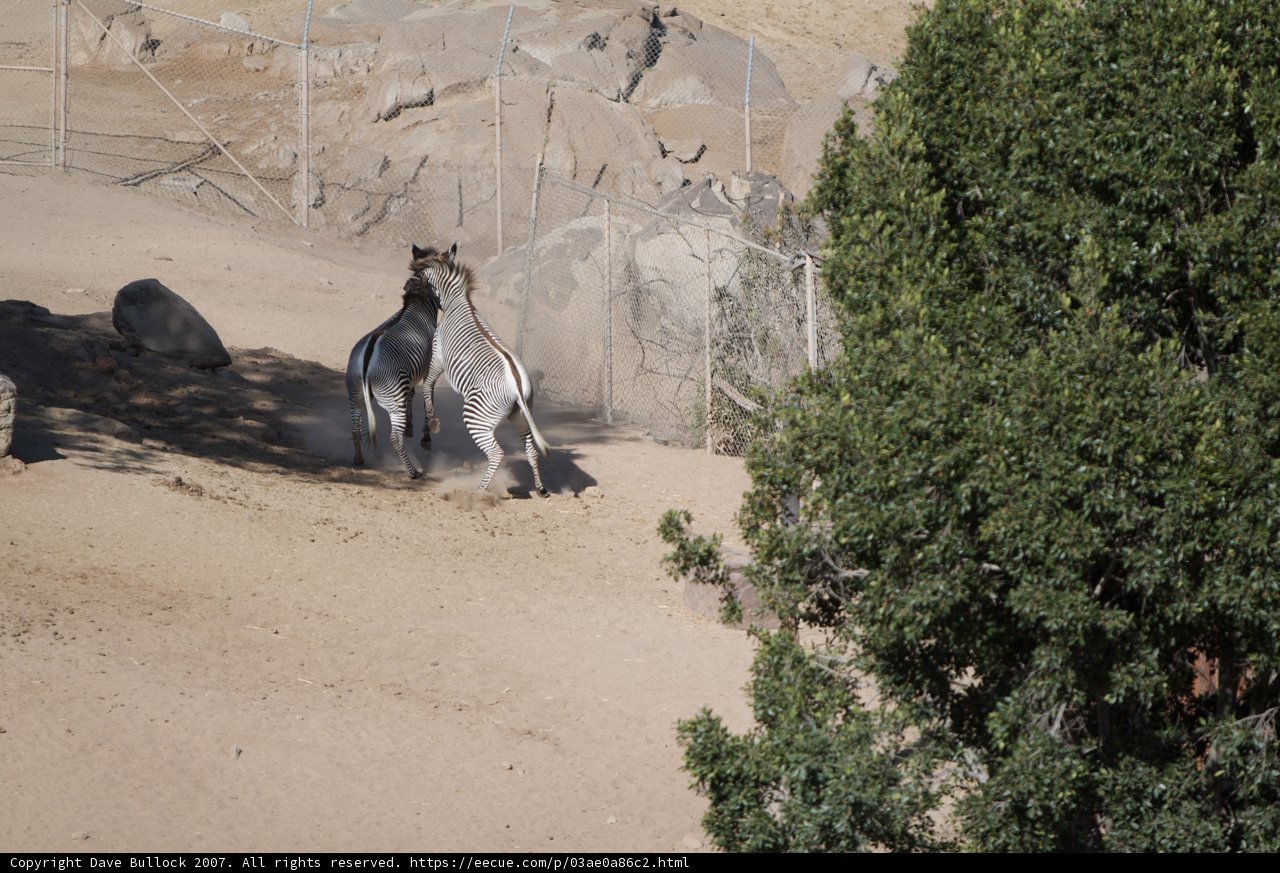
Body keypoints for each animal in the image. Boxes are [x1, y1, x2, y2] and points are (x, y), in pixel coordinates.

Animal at [345, 253, 447, 479]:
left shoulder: (409, 375)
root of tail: (367, 360)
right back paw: (413, 472)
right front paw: (426, 436)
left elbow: (413, 394)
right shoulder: (428, 370)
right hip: (393, 399)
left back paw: (358, 459)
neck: (417, 306)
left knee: (355, 428)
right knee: (394, 437)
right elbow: (428, 397)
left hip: (355, 394)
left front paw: (410, 427)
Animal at [410, 243, 553, 496]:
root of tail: (518, 386)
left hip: (477, 415)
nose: (406, 287)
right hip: (520, 416)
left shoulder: (438, 358)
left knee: (497, 453)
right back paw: (540, 488)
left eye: (417, 275)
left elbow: (427, 389)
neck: (456, 302)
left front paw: (429, 431)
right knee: (531, 450)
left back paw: (478, 492)